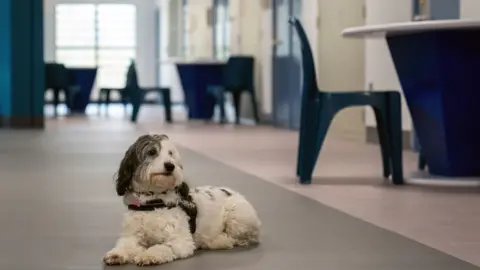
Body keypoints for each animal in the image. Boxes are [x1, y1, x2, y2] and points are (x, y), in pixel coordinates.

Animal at [102, 133, 260, 266]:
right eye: (152, 152)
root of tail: (236, 193)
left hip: (238, 217)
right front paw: (117, 254)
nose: (170, 165)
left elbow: (163, 247)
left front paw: (149, 255)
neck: (153, 201)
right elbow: (126, 245)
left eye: (170, 154)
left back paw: (219, 241)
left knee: (243, 239)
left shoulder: (180, 241)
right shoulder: (131, 236)